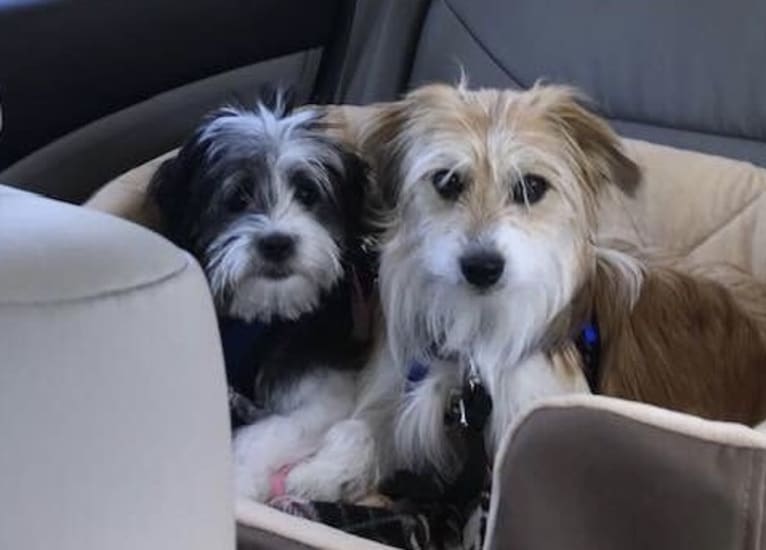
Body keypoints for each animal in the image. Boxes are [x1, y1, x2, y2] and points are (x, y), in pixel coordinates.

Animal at [148, 95, 376, 504]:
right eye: (238, 197)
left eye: (308, 194)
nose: (277, 243)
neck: (263, 312)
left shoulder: (328, 387)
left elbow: (263, 433)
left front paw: (236, 482)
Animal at [282, 84, 766, 502]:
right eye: (447, 181)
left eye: (532, 187)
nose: (482, 266)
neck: (477, 327)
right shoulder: (401, 384)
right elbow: (360, 427)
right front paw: (323, 472)